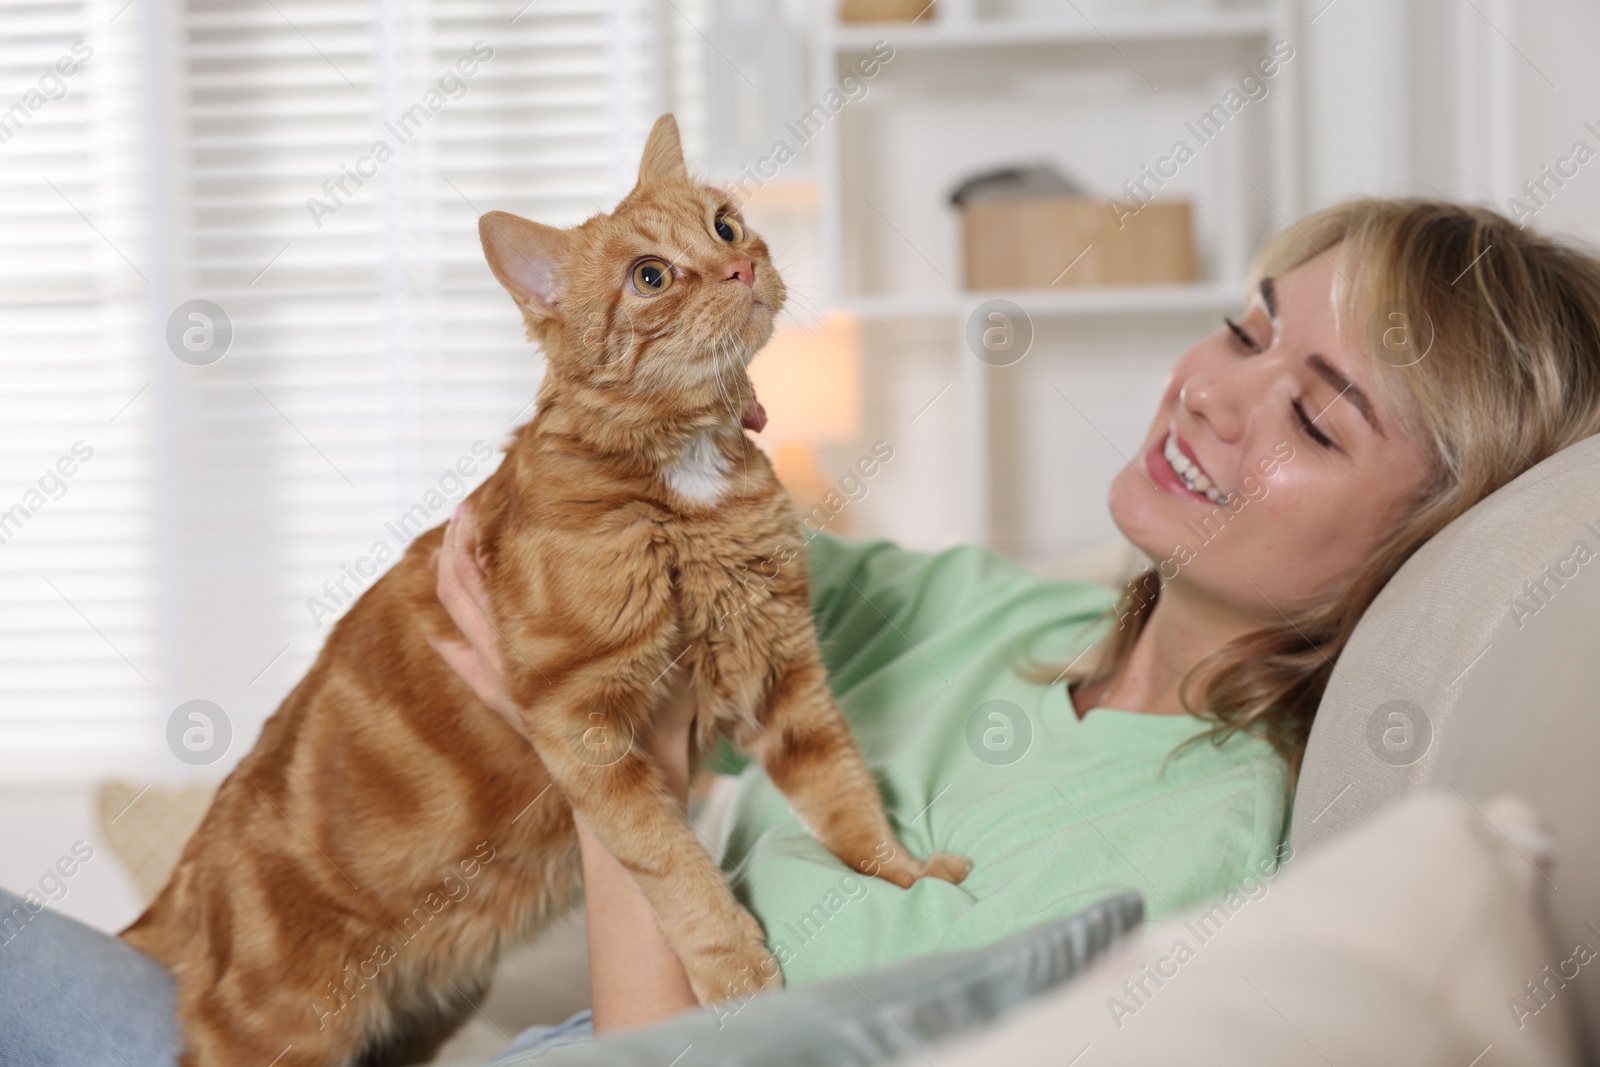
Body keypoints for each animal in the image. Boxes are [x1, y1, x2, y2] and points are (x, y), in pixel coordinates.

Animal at [118, 116, 966, 1067]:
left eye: (723, 225)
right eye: (650, 276)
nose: (741, 267)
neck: (684, 471)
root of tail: (187, 874)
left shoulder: (781, 672)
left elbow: (846, 797)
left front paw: (905, 876)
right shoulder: (578, 716)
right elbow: (675, 865)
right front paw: (736, 969)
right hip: (286, 1033)